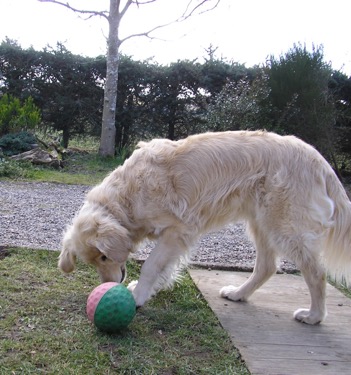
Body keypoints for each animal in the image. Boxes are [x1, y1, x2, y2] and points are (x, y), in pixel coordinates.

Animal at [59, 131, 351, 324]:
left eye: (104, 256)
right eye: (94, 262)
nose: (110, 285)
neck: (127, 197)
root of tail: (320, 161)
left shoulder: (178, 230)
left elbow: (151, 265)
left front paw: (139, 296)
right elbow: (164, 267)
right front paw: (153, 287)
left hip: (285, 228)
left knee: (317, 273)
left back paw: (313, 315)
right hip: (260, 224)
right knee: (267, 267)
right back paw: (238, 294)